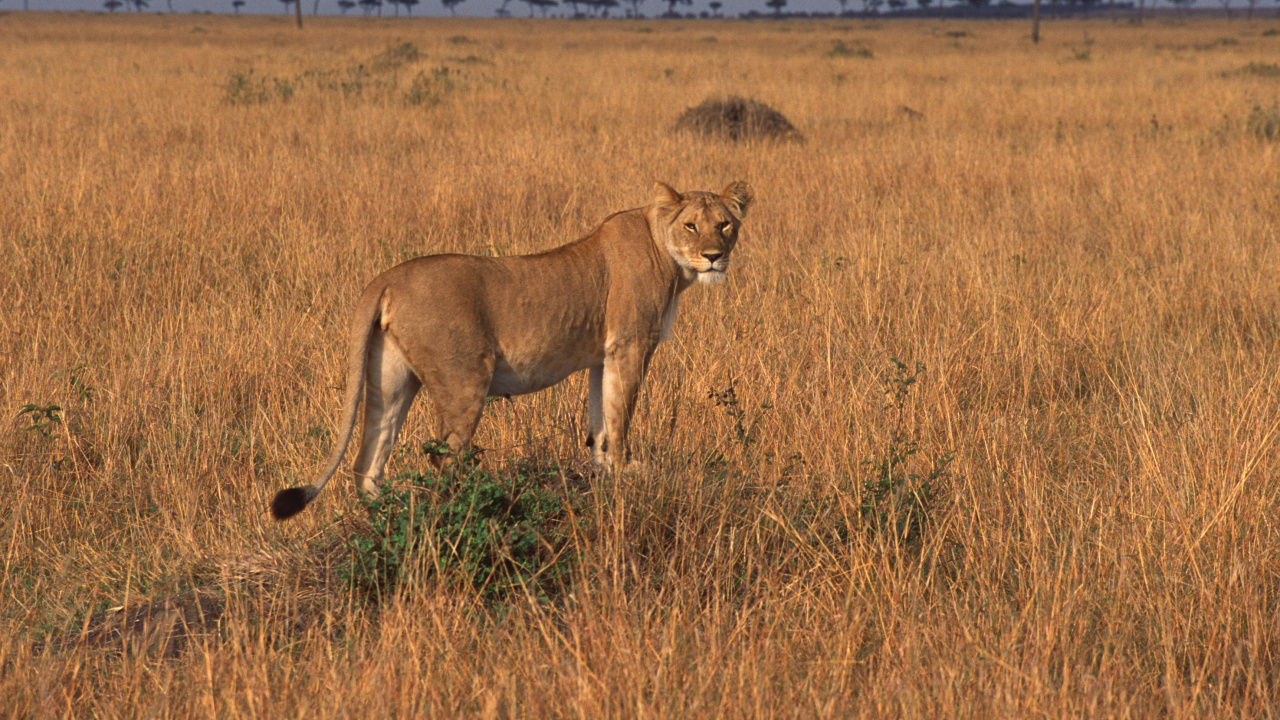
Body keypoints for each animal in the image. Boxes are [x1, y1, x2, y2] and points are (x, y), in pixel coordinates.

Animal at [270, 180, 753, 520]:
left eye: (725, 224)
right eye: (691, 225)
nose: (714, 256)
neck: (666, 250)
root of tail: (386, 277)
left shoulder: (602, 356)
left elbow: (600, 418)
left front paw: (602, 471)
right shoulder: (630, 345)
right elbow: (620, 416)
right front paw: (625, 476)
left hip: (390, 379)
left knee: (368, 460)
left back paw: (382, 520)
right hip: (464, 380)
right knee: (442, 456)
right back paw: (461, 511)